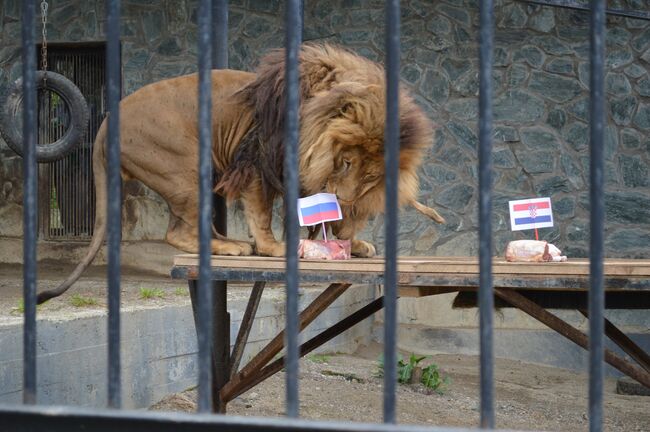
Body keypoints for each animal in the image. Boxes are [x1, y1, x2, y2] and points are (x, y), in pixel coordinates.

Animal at [38, 42, 442, 302]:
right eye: (345, 162)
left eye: (372, 176)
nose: (342, 197)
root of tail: (105, 122)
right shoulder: (258, 168)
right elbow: (262, 214)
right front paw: (275, 249)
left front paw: (350, 242)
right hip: (185, 168)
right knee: (177, 233)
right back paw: (234, 246)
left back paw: (229, 242)